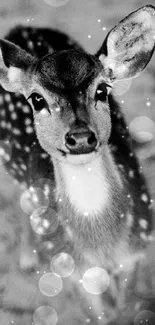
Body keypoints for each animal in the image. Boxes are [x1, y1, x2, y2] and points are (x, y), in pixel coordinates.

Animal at [0, 3, 155, 322]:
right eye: (37, 99)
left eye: (102, 90)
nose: (81, 137)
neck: (100, 246)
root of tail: (22, 26)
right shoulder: (68, 268)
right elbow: (97, 315)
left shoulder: (138, 250)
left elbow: (123, 309)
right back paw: (27, 258)